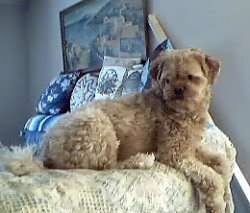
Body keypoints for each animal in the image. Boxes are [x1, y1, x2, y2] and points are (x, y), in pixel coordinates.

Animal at [41, 48, 229, 213]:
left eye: (191, 77)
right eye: (167, 80)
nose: (177, 91)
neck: (182, 111)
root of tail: (46, 151)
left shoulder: (191, 147)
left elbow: (222, 161)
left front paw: (226, 182)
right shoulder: (174, 154)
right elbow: (212, 178)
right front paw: (218, 203)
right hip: (97, 123)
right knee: (108, 166)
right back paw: (140, 160)